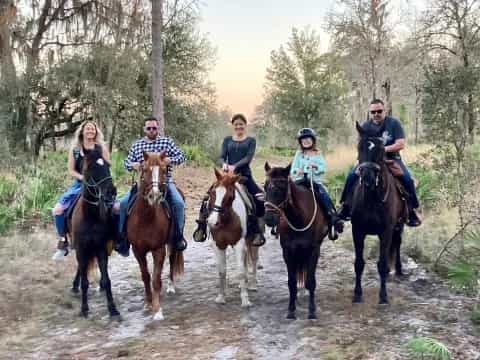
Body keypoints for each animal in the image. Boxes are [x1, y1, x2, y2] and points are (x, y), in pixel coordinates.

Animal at [68, 146, 119, 318]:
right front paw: (84, 309)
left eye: (107, 165)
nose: (111, 191)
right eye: (89, 168)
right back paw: (75, 286)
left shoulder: (101, 248)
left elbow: (108, 279)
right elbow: (85, 282)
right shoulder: (81, 248)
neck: (90, 217)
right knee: (80, 267)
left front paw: (112, 308)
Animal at [126, 150, 185, 320]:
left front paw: (157, 310)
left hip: (173, 242)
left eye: (164, 170)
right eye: (144, 169)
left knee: (172, 260)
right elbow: (146, 276)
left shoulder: (158, 249)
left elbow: (156, 279)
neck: (145, 218)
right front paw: (148, 303)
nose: (155, 196)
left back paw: (171, 287)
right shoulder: (138, 250)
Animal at [206, 169, 258, 306]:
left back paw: (253, 284)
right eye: (212, 192)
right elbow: (221, 270)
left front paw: (245, 300)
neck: (226, 219)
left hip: (252, 242)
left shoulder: (238, 243)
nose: (212, 222)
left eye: (229, 197)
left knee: (254, 260)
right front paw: (221, 297)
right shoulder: (218, 244)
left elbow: (240, 271)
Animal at [262, 162, 330, 320]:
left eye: (281, 188)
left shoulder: (313, 251)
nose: (269, 219)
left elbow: (311, 281)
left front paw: (312, 311)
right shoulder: (287, 252)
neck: (299, 219)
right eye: (265, 186)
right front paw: (291, 310)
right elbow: (291, 282)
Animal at [350, 122, 406, 306]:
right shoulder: (357, 231)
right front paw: (357, 294)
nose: (367, 177)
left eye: (381, 149)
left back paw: (398, 269)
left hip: (399, 225)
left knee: (397, 244)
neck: (372, 199)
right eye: (359, 147)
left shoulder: (386, 231)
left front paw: (383, 296)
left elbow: (381, 264)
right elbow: (359, 263)